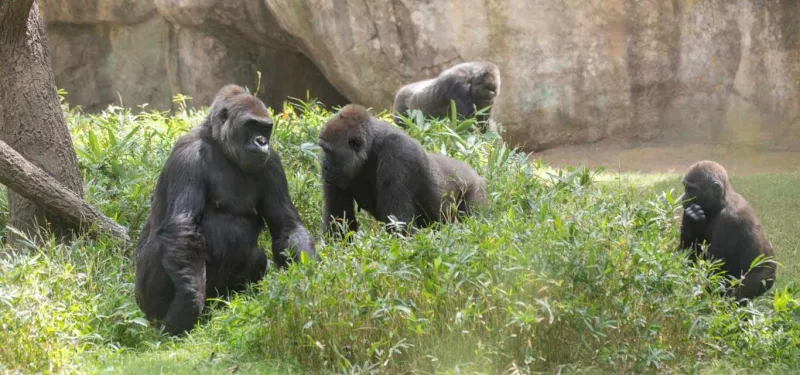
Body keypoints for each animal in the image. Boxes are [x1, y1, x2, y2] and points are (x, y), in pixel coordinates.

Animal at [134, 83, 316, 334]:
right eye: (251, 125)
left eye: (266, 128)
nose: (262, 141)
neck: (219, 145)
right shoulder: (187, 155)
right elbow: (182, 226)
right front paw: (188, 303)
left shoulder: (272, 161)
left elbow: (285, 225)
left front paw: (306, 276)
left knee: (255, 257)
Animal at [318, 103, 488, 238]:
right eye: (323, 150)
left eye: (329, 151)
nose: (324, 166)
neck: (370, 148)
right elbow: (339, 224)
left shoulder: (398, 152)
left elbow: (401, 226)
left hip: (475, 189)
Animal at [680, 160, 780, 304]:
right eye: (685, 187)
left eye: (691, 189)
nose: (683, 197)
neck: (722, 202)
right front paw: (691, 217)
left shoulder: (730, 220)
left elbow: (715, 270)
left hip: (765, 277)